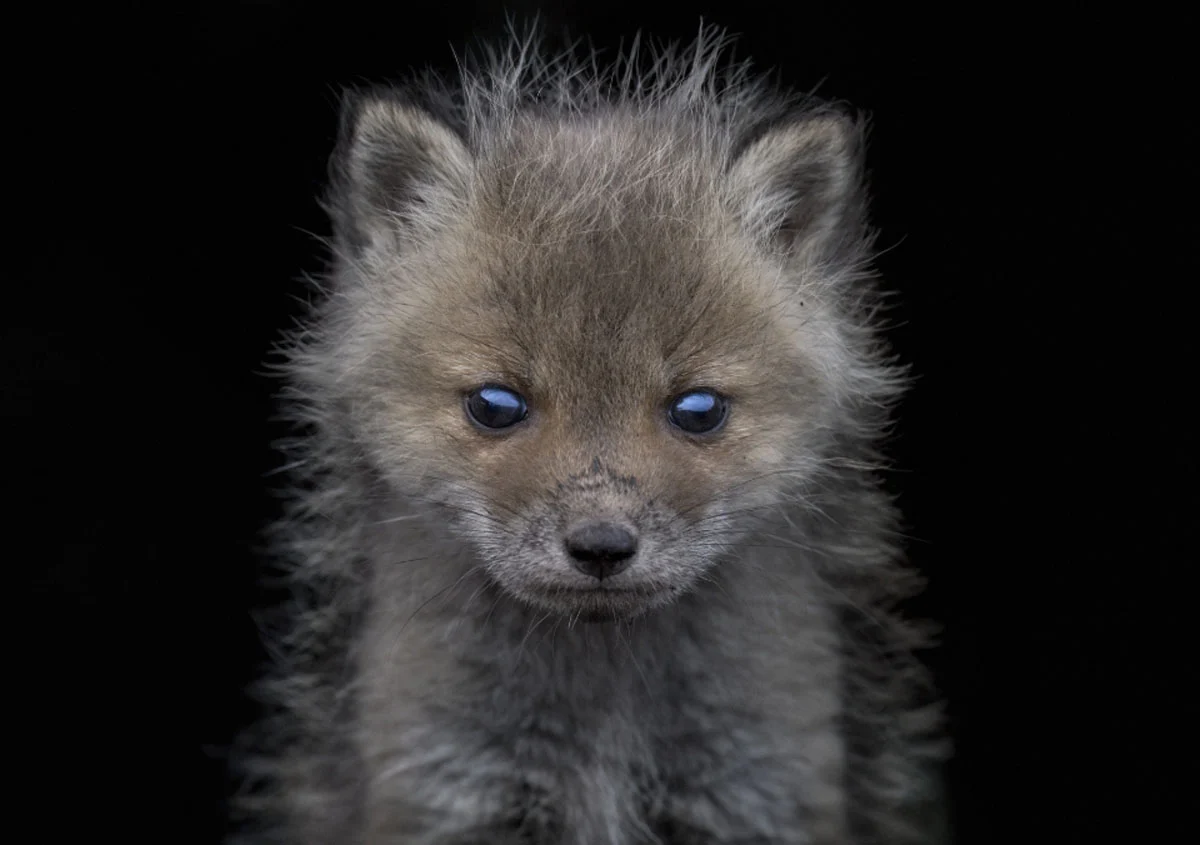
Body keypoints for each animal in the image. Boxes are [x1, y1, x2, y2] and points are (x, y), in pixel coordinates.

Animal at [230, 25, 947, 845]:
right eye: (496, 405)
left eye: (698, 409)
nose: (601, 546)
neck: (605, 729)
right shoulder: (446, 788)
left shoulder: (760, 789)